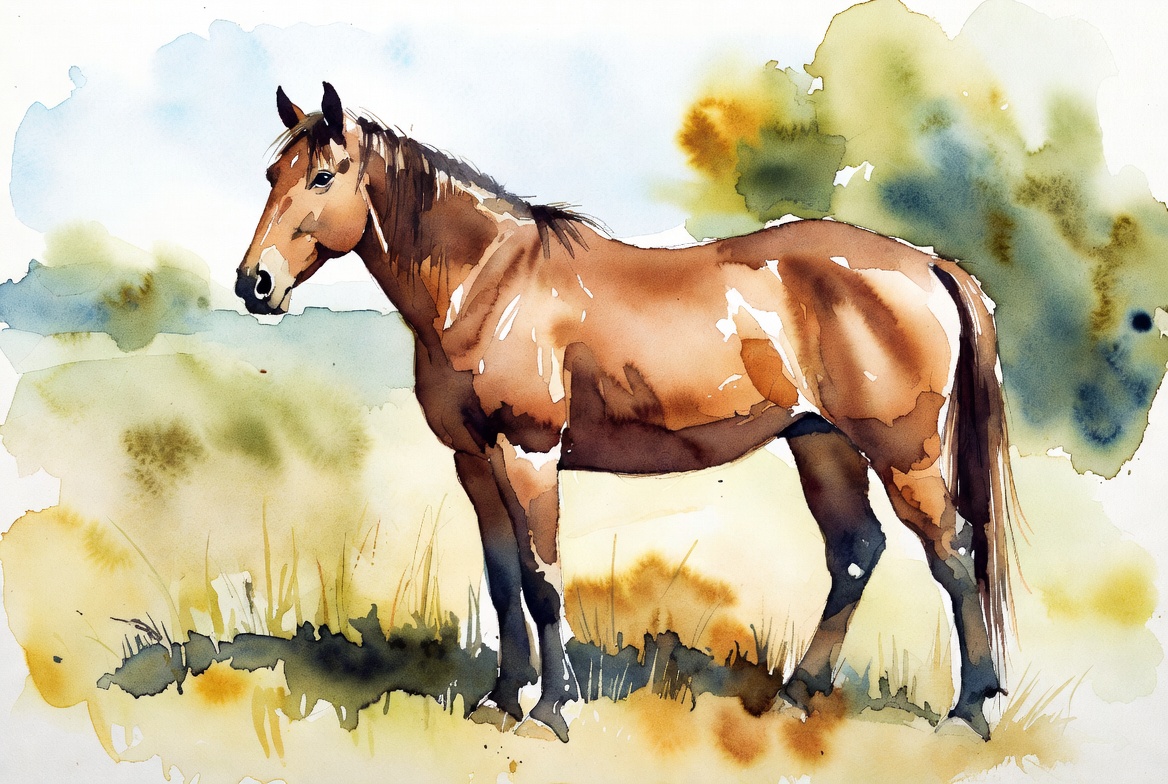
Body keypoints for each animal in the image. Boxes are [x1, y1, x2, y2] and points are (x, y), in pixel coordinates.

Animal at [236, 82, 1019, 741]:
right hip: (820, 442)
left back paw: (968, 710)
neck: (488, 286)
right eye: (272, 175)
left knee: (952, 555)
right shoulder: (474, 460)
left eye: (323, 176)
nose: (255, 284)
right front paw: (500, 699)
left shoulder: (528, 453)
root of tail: (930, 264)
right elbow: (501, 578)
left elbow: (542, 578)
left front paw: (553, 708)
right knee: (857, 552)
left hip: (905, 456)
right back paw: (799, 693)